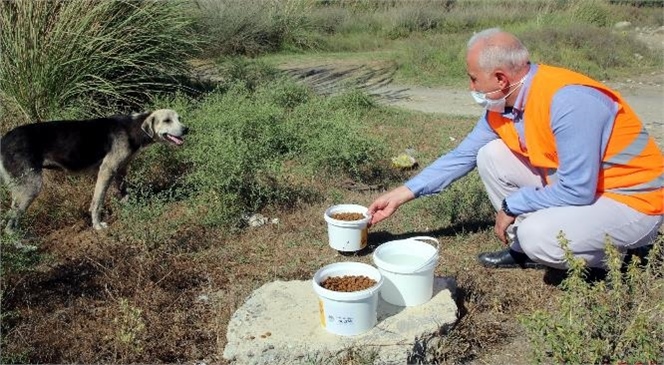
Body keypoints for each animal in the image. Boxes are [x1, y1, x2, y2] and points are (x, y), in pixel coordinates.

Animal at [0, 109, 187, 232]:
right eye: (167, 120)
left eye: (179, 118)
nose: (187, 129)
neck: (132, 128)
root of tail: (4, 139)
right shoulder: (106, 171)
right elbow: (97, 202)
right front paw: (97, 226)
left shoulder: (121, 171)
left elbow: (124, 193)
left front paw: (130, 207)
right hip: (31, 187)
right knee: (10, 225)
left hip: (20, 187)